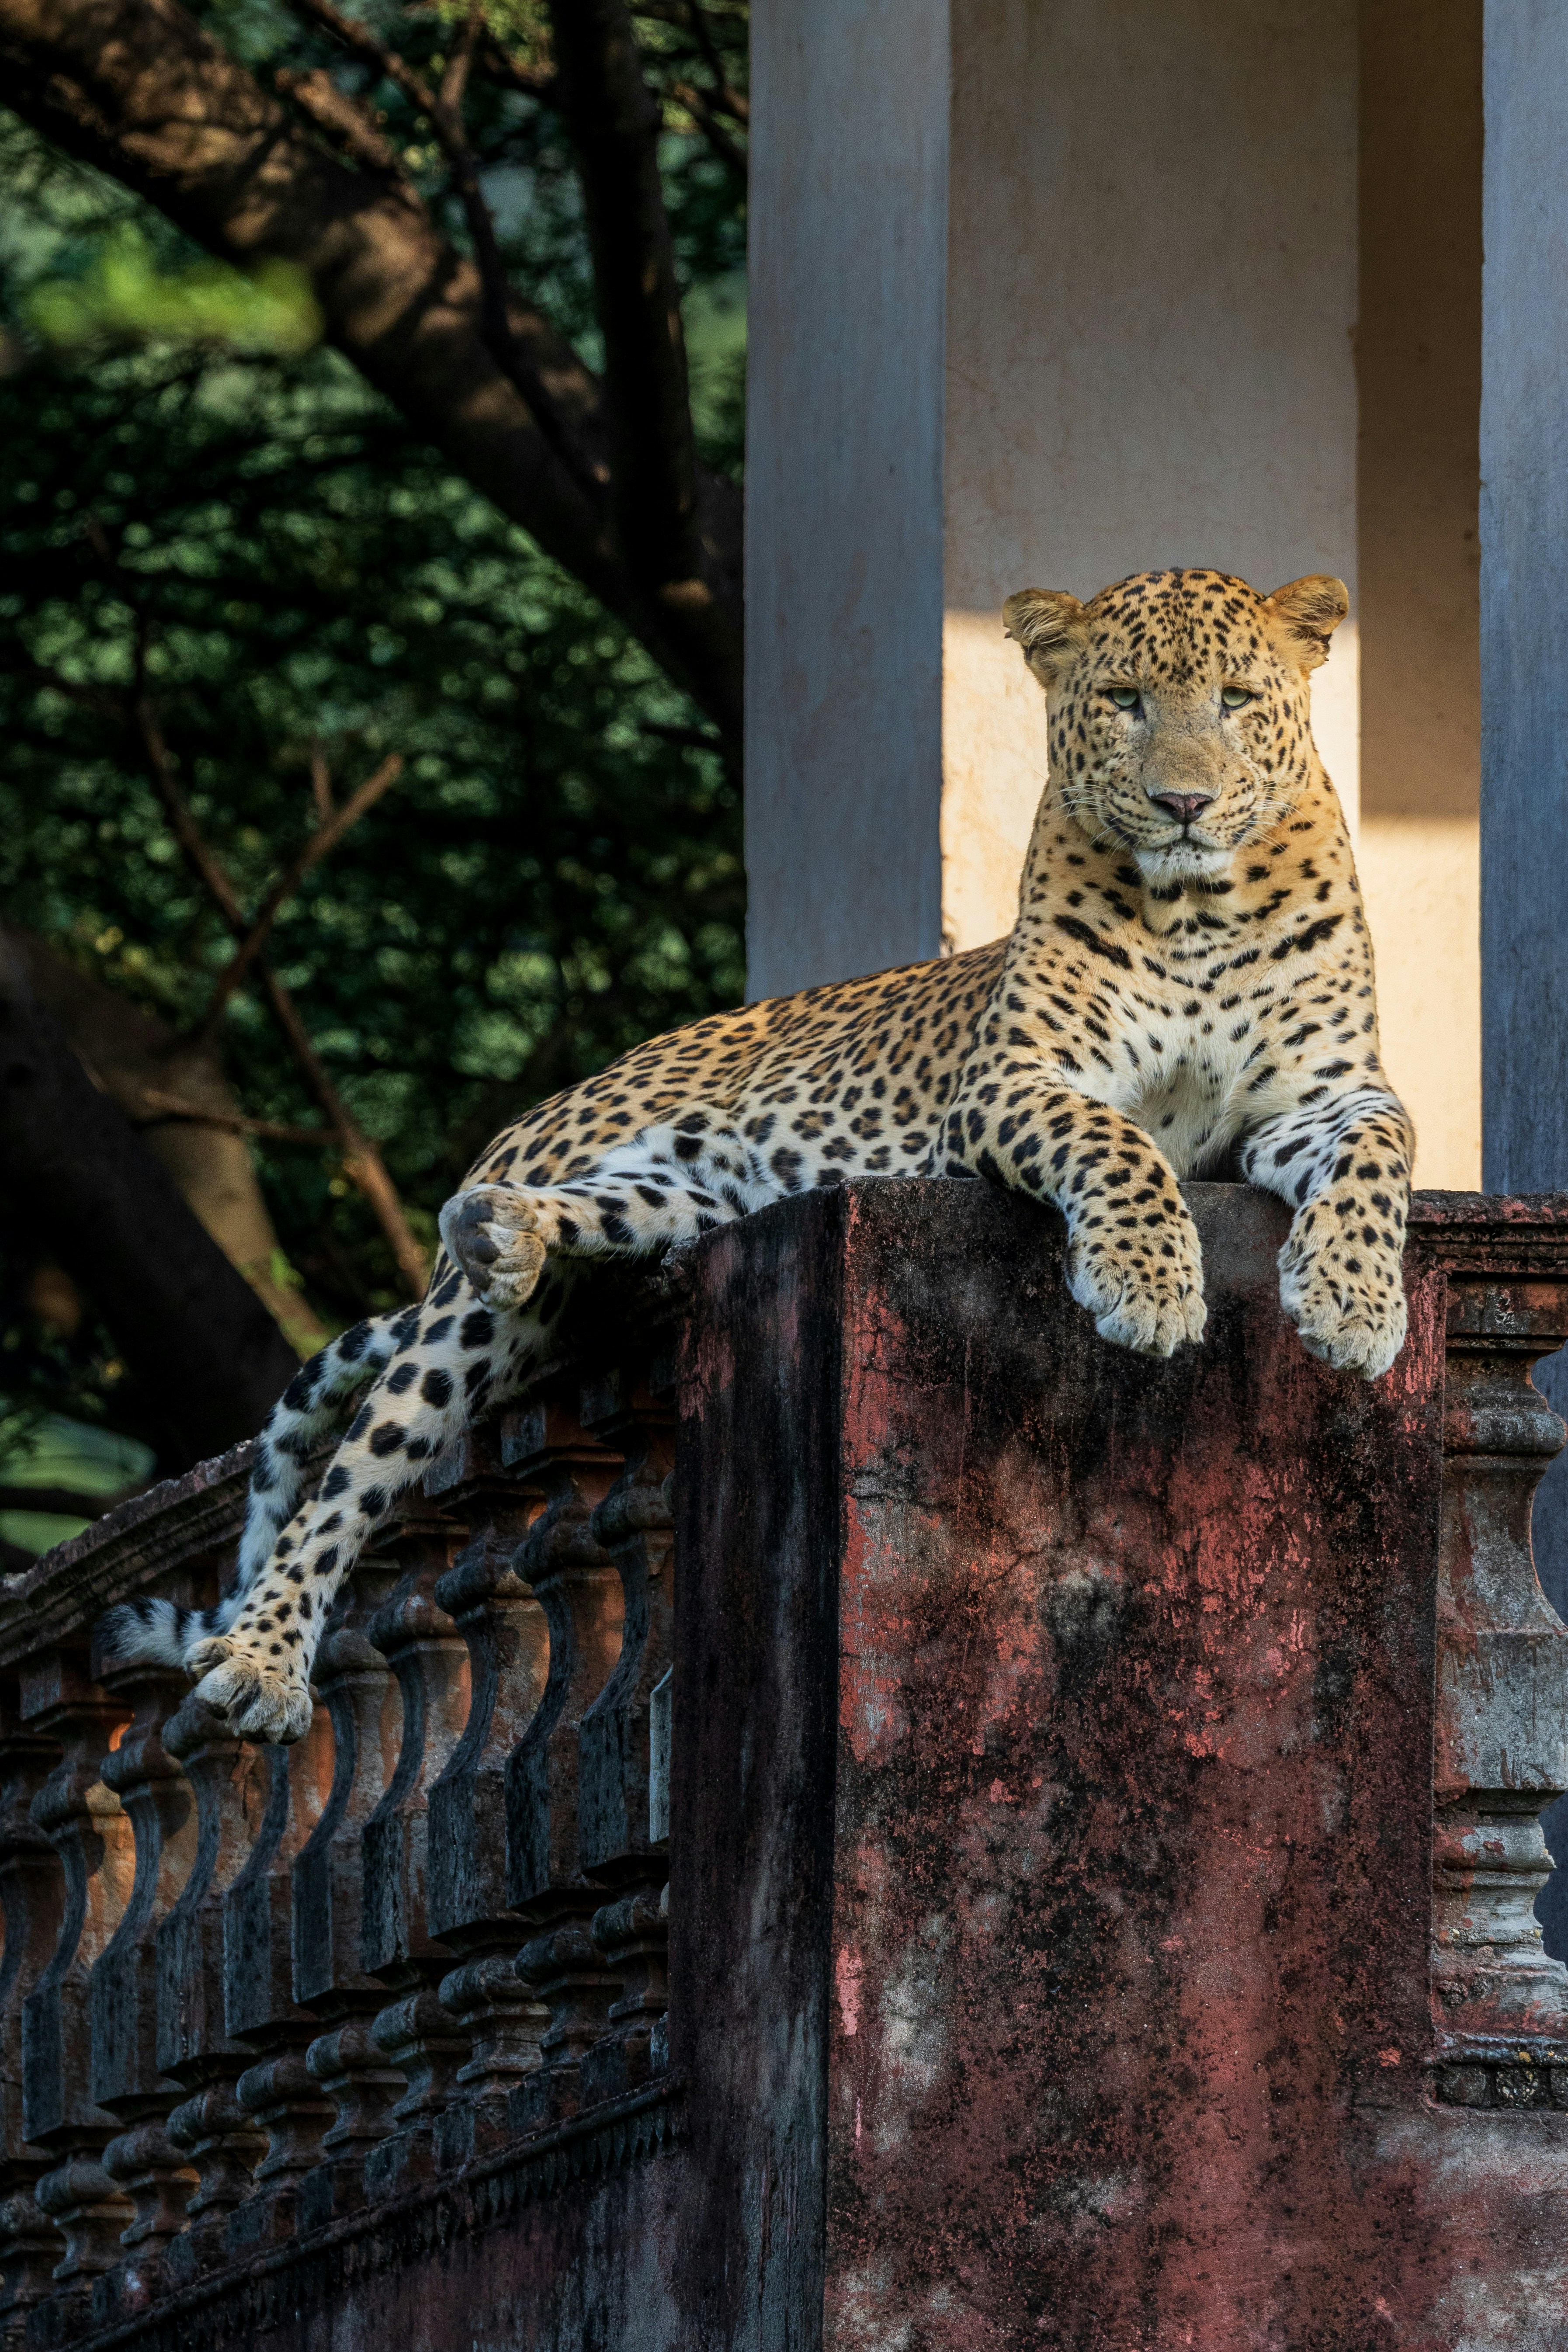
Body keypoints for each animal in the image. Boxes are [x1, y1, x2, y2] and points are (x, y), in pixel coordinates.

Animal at [104, 566, 1414, 1744]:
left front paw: (1351, 1304)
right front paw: (1147, 1284)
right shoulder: (1012, 1083)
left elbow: (1380, 1154)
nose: (1182, 801)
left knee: (579, 1221)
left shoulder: (1325, 1092)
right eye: (1127, 700)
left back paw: (508, 1225)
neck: (1199, 913)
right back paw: (261, 1657)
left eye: (1237, 698)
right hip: (468, 1325)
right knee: (351, 1473)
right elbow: (1123, 1138)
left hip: (677, 1198)